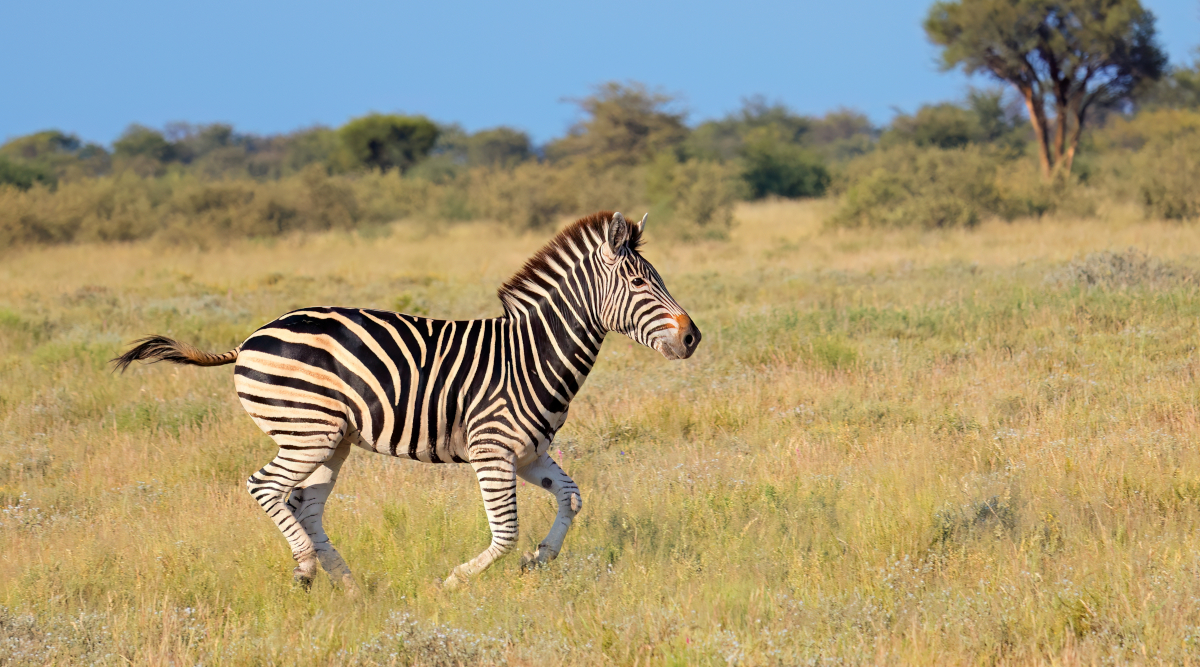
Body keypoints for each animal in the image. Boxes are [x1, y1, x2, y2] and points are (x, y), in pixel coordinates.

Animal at [113, 211, 701, 590]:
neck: (530, 354)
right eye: (638, 282)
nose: (694, 338)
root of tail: (252, 335)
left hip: (332, 441)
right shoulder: (492, 451)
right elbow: (506, 532)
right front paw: (455, 581)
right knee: (266, 487)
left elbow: (572, 500)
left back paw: (350, 586)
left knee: (306, 506)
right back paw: (306, 569)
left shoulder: (529, 453)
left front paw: (540, 561)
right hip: (308, 433)